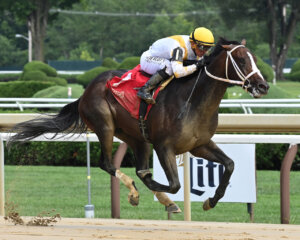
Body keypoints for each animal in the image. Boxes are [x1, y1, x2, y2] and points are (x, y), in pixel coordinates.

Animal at [7, 38, 270, 214]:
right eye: (241, 60)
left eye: (255, 59)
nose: (263, 86)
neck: (193, 100)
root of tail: (86, 91)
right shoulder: (164, 147)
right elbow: (173, 183)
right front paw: (155, 190)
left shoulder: (199, 144)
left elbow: (230, 164)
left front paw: (210, 201)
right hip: (105, 126)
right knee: (108, 164)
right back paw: (137, 192)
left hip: (137, 138)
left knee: (135, 166)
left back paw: (163, 200)